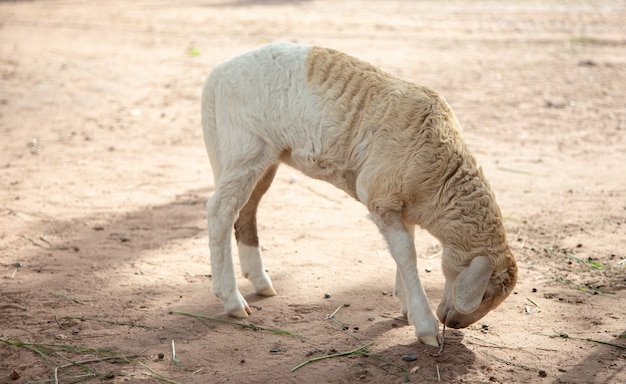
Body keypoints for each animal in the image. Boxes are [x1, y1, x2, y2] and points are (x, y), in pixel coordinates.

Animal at [200, 42, 516, 348]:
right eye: (486, 294)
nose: (455, 324)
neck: (442, 179)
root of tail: (216, 75)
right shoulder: (378, 194)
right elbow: (407, 252)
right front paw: (427, 327)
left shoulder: (402, 205)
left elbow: (405, 246)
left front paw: (406, 307)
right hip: (244, 147)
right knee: (220, 212)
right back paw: (232, 299)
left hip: (262, 155)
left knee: (246, 211)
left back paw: (261, 283)